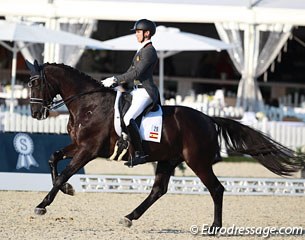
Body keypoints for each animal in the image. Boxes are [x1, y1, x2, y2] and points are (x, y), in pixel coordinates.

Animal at [25, 60, 302, 229]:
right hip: (168, 159)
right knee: (158, 190)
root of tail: (208, 118)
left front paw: (42, 205)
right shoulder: (79, 145)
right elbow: (53, 158)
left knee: (216, 189)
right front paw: (68, 189)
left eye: (36, 83)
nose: (36, 114)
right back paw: (129, 217)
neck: (89, 104)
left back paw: (215, 227)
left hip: (197, 161)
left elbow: (64, 173)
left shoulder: (89, 149)